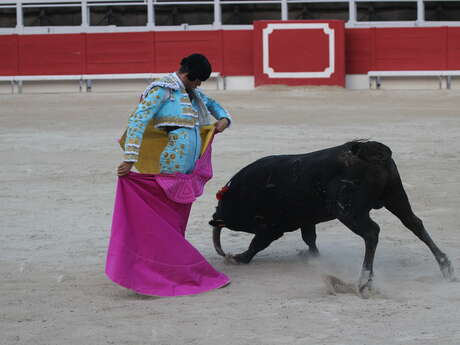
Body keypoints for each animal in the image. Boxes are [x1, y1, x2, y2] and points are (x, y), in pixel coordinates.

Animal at [210, 140, 454, 292]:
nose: (214, 216)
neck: (242, 193)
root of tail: (369, 150)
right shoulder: (306, 220)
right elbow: (310, 238)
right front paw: (313, 256)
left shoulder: (272, 227)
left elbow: (257, 244)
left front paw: (239, 258)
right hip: (395, 196)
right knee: (414, 223)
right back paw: (446, 268)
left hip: (347, 211)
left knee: (372, 232)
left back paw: (363, 282)